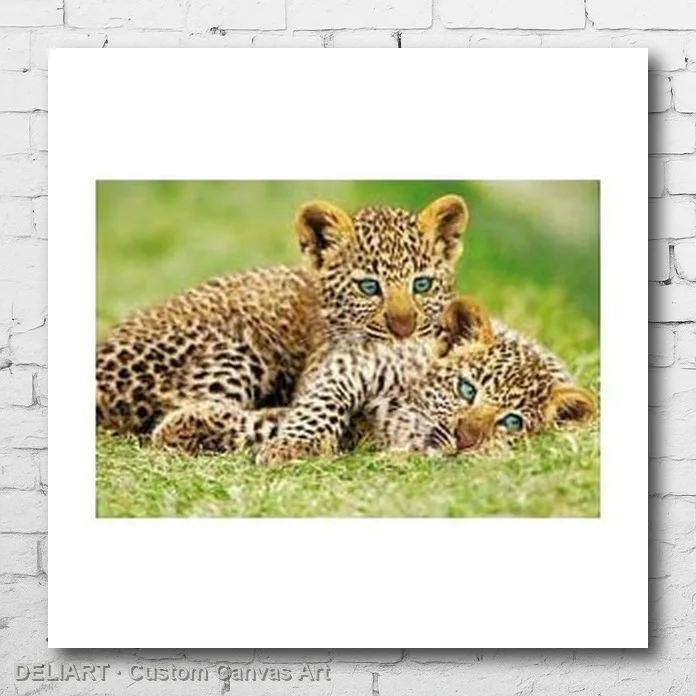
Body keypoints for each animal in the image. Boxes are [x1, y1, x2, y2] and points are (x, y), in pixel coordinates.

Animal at [151, 296, 596, 463]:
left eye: (512, 422)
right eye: (466, 388)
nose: (466, 439)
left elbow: (269, 422)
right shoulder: (353, 359)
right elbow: (320, 404)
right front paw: (293, 446)